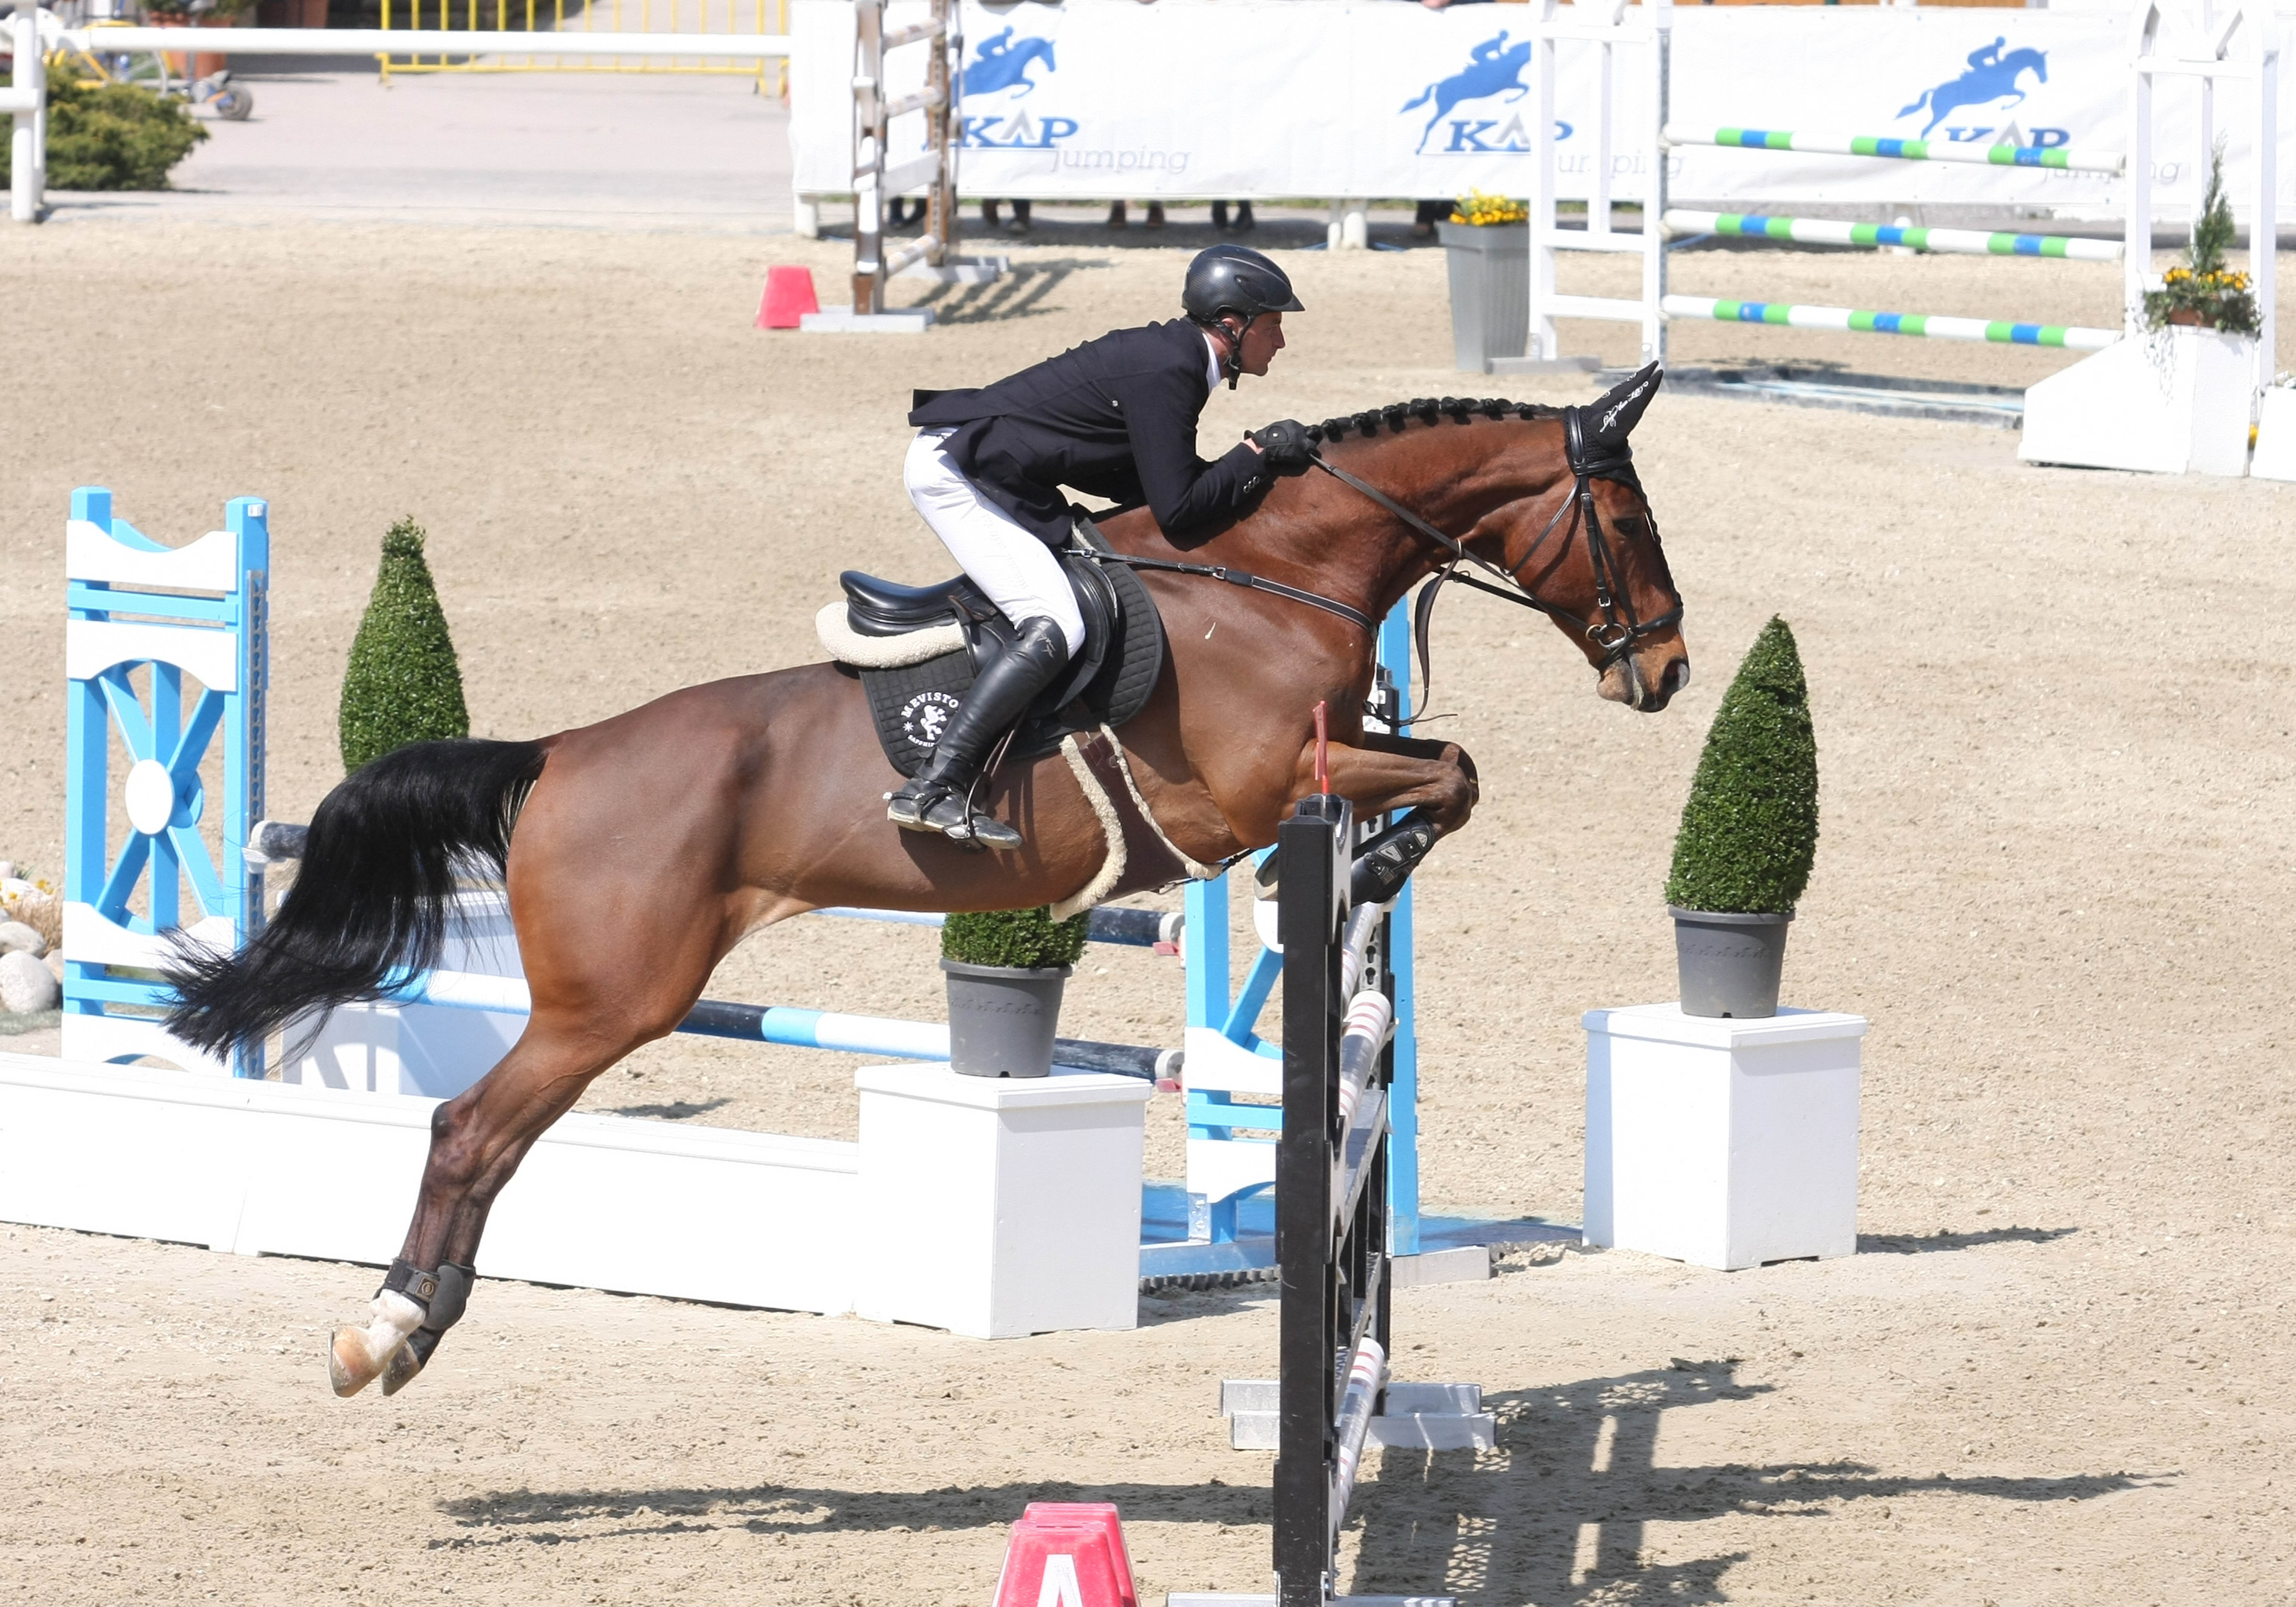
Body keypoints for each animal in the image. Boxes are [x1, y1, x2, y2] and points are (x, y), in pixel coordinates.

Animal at [162, 365, 1690, 1395]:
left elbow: (1451, 767)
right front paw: (1369, 859)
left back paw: (407, 1323)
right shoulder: (1255, 788)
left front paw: (1361, 865)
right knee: (469, 1129)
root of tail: (557, 758)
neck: (1273, 572)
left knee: (479, 1134)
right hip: (612, 1001)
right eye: (1623, 516)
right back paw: (388, 1329)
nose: (1668, 669)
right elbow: (1448, 775)